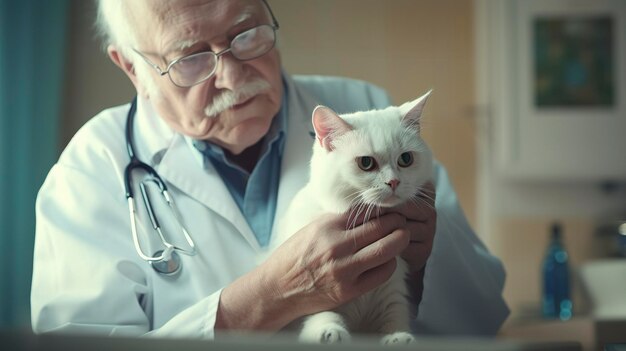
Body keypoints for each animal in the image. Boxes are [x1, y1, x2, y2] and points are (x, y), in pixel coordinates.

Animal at [270, 90, 432, 344]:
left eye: (406, 159)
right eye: (366, 163)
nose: (394, 182)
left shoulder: (392, 290)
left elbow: (394, 317)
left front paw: (398, 338)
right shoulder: (318, 295)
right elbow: (322, 314)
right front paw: (329, 333)